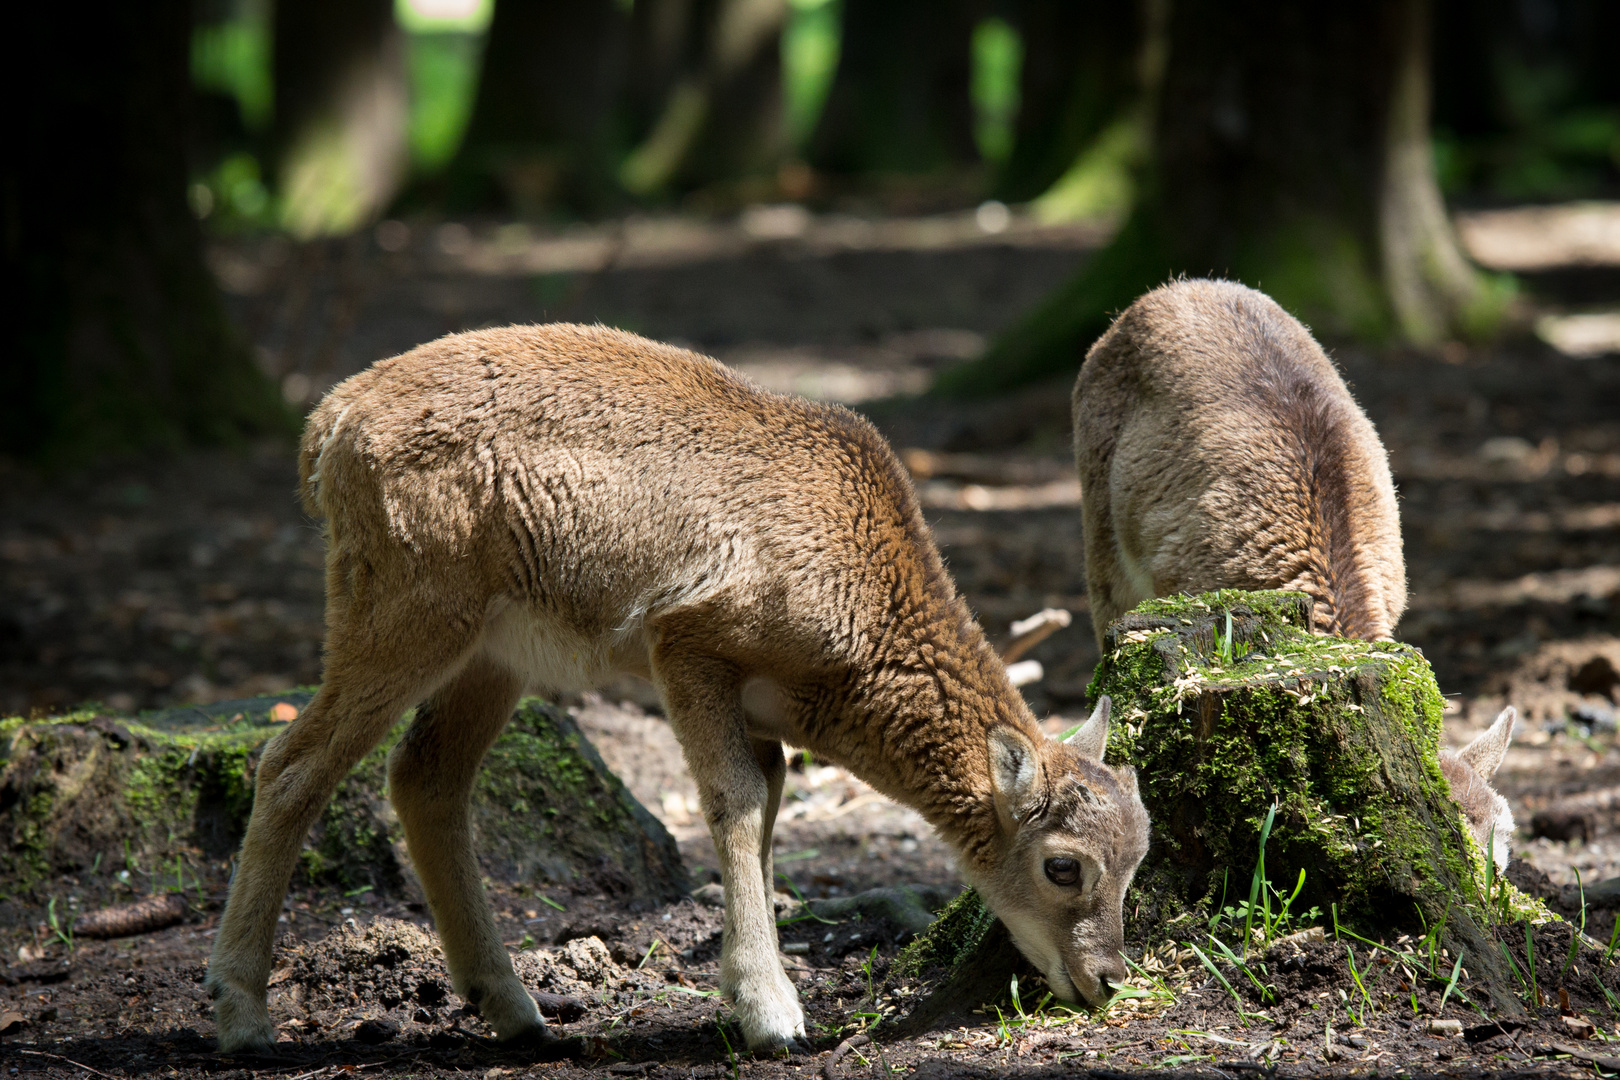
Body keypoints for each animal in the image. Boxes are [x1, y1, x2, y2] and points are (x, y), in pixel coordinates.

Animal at [208, 325, 1153, 1049]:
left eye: (1140, 858)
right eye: (1063, 865)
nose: (1106, 978)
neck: (853, 621)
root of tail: (327, 427)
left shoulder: (759, 710)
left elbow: (768, 806)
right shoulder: (689, 644)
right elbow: (734, 801)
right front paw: (775, 1018)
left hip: (493, 654)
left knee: (425, 777)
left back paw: (517, 1014)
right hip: (406, 610)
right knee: (291, 763)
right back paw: (242, 1018)